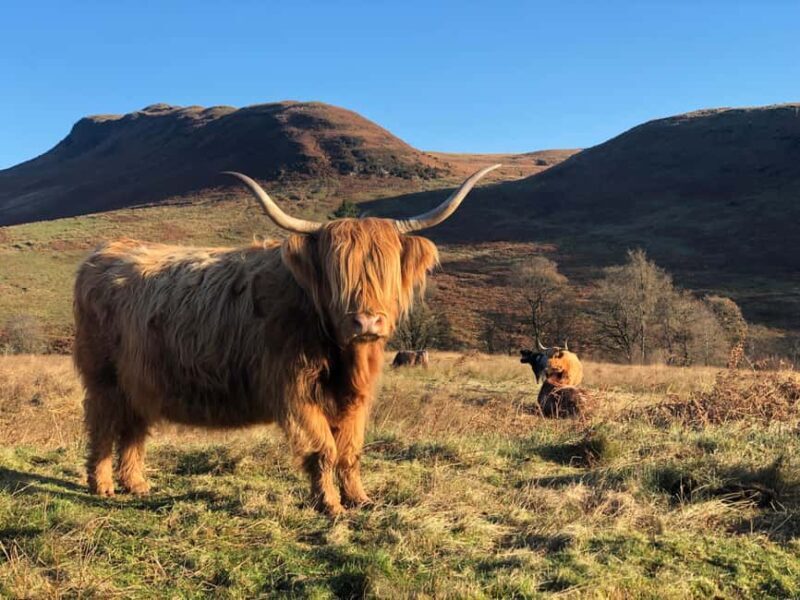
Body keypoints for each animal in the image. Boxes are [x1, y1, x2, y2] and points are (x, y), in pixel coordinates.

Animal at [73, 164, 501, 516]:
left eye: (385, 268)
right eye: (337, 272)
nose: (366, 320)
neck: (342, 353)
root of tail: (106, 251)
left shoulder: (354, 396)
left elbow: (350, 450)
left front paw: (360, 499)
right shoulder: (295, 390)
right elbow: (324, 449)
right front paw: (330, 505)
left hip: (140, 379)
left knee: (133, 426)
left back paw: (136, 484)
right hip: (104, 376)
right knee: (103, 424)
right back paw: (103, 485)